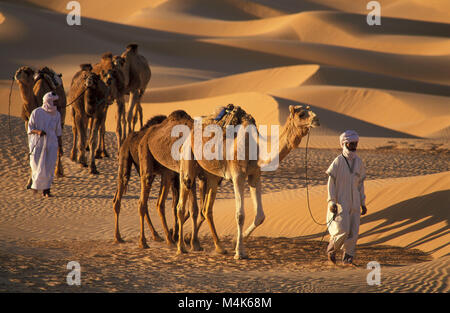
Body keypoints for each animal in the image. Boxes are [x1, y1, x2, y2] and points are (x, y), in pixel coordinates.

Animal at [155, 103, 320, 258]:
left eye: (309, 110)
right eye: (301, 114)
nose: (317, 120)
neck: (256, 148)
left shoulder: (255, 175)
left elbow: (260, 216)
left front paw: (237, 240)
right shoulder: (237, 176)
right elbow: (240, 215)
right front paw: (240, 252)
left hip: (213, 174)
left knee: (207, 209)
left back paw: (219, 247)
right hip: (187, 157)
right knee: (181, 204)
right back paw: (181, 247)